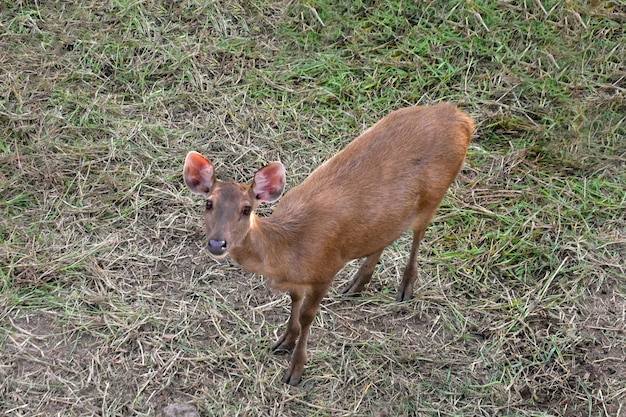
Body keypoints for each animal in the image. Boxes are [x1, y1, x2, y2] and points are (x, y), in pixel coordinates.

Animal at [183, 103, 470, 384]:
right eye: (208, 203)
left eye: (246, 209)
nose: (217, 243)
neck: (288, 251)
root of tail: (462, 118)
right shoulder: (299, 280)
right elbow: (294, 302)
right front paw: (283, 342)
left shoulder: (326, 269)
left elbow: (307, 315)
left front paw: (295, 370)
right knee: (385, 235)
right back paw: (356, 285)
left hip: (434, 195)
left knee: (418, 234)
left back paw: (405, 287)